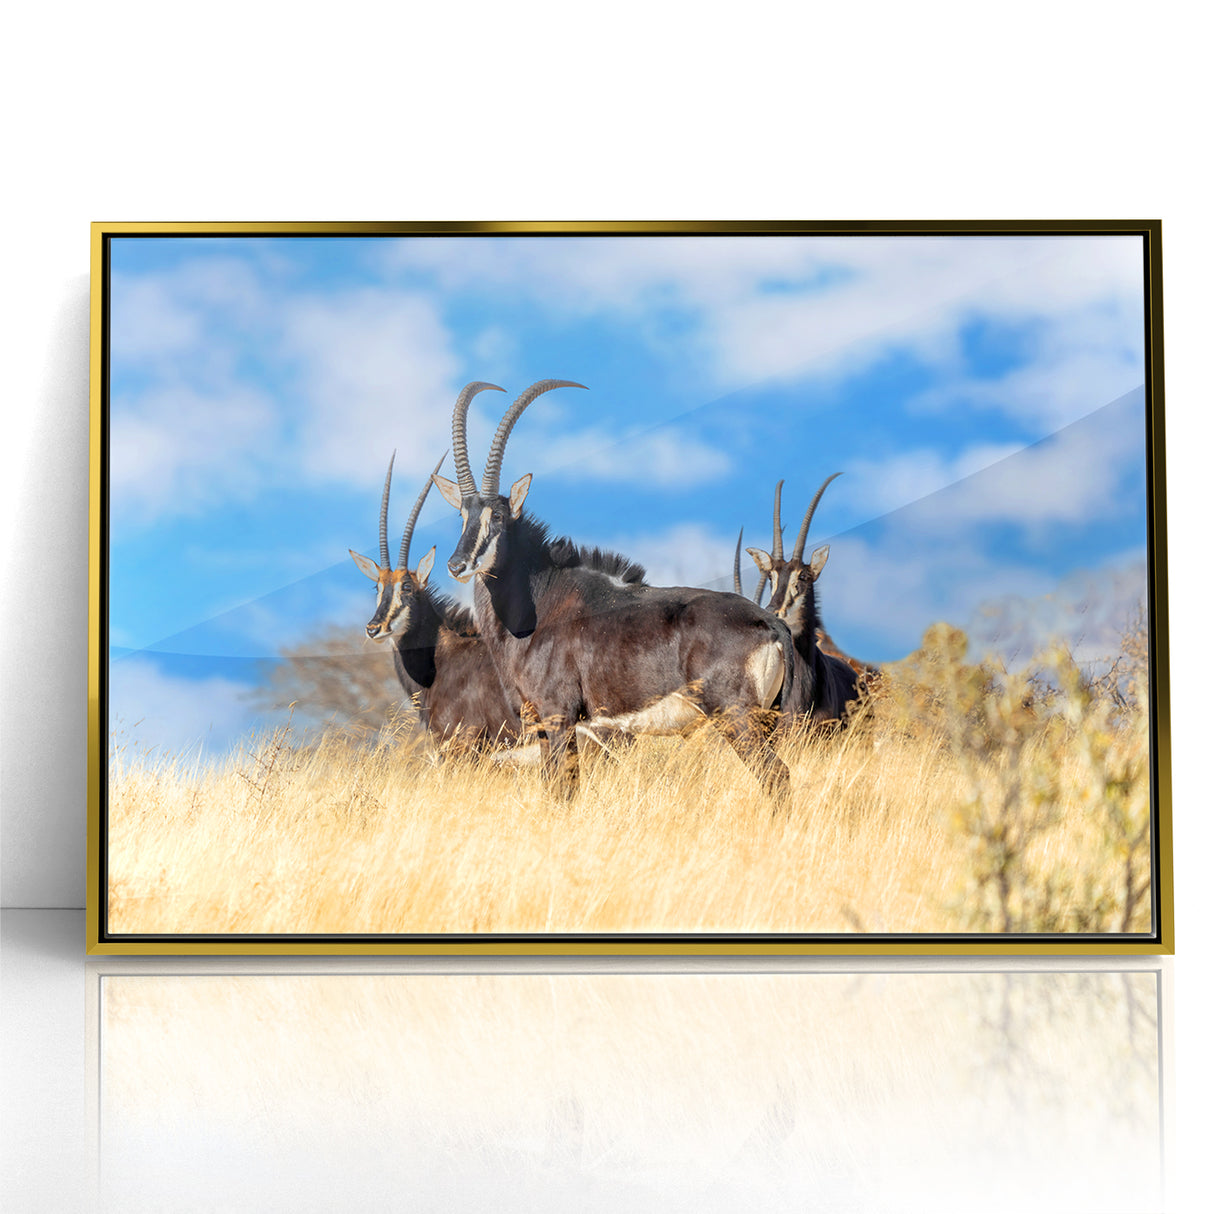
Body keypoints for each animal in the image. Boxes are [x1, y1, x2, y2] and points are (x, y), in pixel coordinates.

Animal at [432, 379, 797, 803]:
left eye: (500, 517)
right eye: (463, 515)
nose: (457, 565)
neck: (539, 603)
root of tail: (769, 622)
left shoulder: (558, 715)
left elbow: (564, 790)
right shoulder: (543, 725)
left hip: (736, 716)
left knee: (776, 776)